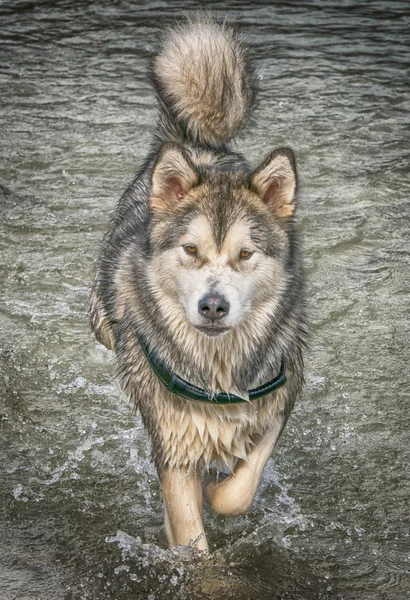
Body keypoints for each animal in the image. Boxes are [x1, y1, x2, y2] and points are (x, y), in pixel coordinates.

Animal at [90, 16, 308, 552]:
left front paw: (220, 490)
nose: (213, 306)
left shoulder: (281, 397)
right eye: (191, 250)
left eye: (245, 254)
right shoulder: (172, 438)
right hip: (103, 319)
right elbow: (190, 535)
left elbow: (239, 488)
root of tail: (195, 144)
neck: (217, 372)